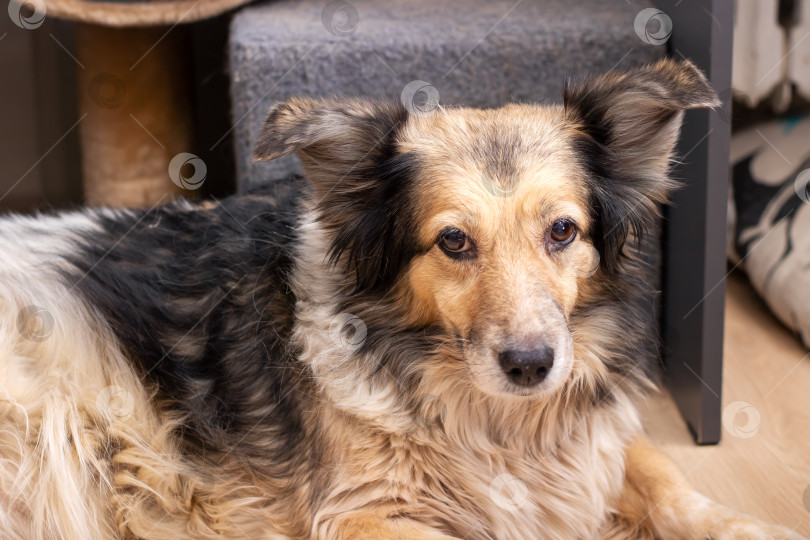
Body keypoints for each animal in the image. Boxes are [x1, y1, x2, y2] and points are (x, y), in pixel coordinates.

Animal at [0, 59, 800, 540]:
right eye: (453, 242)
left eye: (563, 231)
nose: (531, 365)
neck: (495, 421)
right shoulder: (366, 515)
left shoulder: (590, 436)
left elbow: (672, 482)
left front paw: (759, 528)